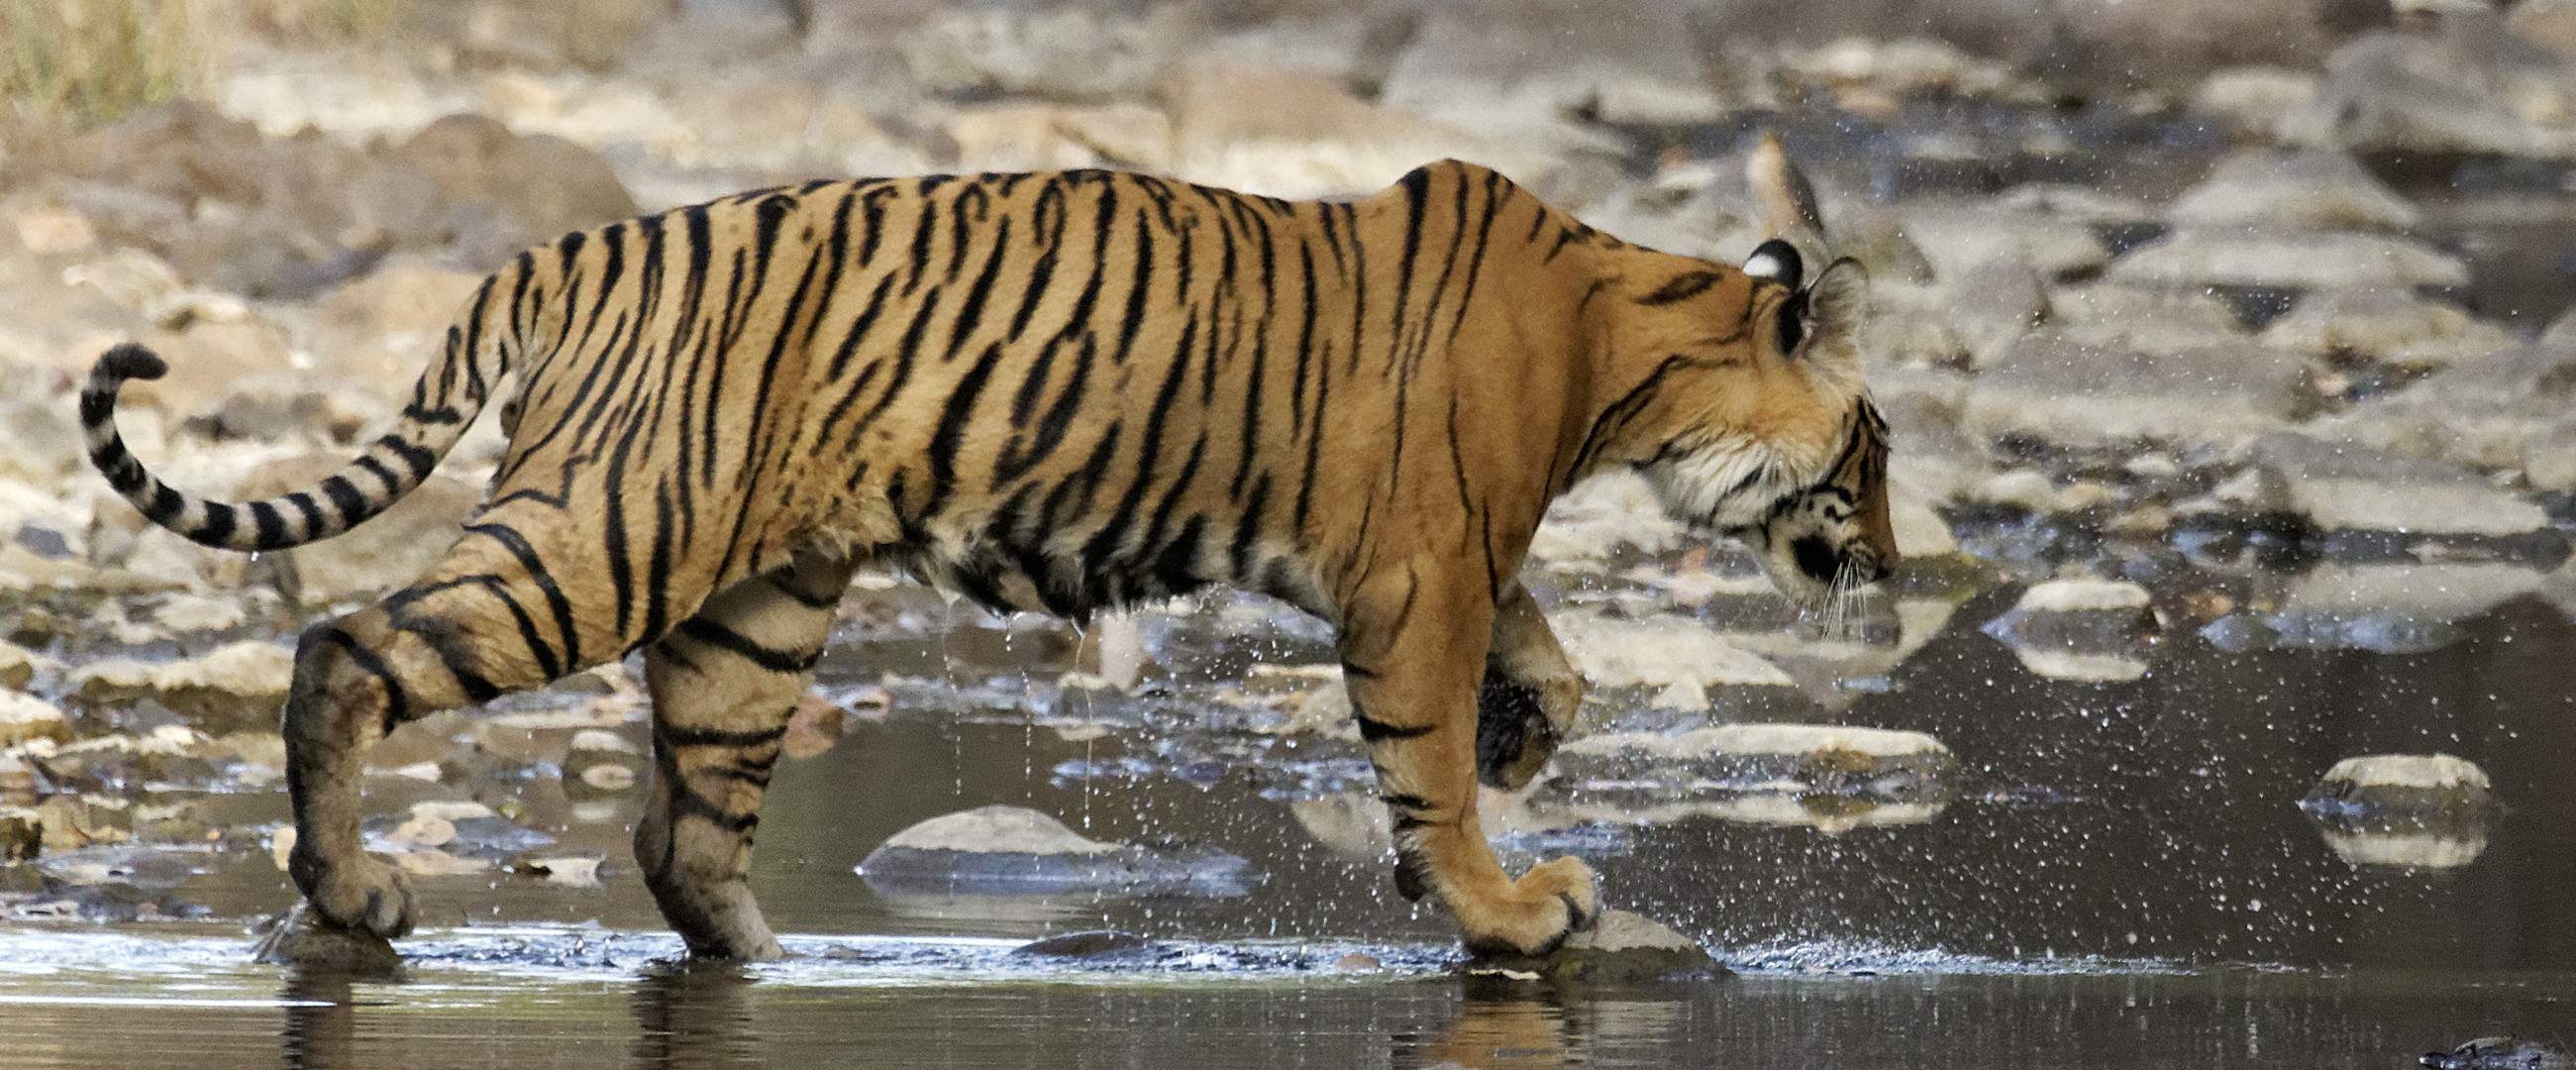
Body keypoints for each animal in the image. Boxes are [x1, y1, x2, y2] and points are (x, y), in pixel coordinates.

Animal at [80, 144, 1896, 964]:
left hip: (751, 606)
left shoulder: (1446, 560)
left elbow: (1547, 666)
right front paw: (1509, 908)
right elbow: (1429, 767)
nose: (1884, 563)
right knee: (346, 650)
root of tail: (566, 250)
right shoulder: (1420, 574)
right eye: (1875, 454)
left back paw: (775, 963)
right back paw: (352, 892)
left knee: (685, 826)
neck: (1625, 348)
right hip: (608, 533)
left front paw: (1528, 737)